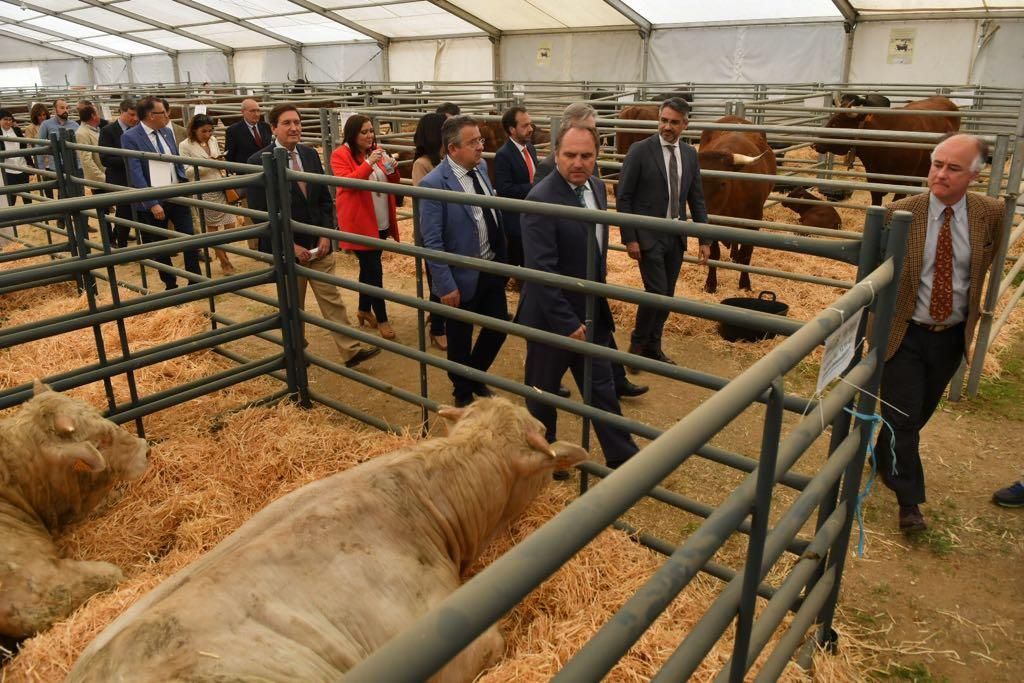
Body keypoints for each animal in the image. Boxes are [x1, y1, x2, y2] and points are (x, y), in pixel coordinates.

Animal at [700, 117, 778, 294]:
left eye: (722, 183)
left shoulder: (754, 221)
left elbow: (746, 255)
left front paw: (745, 284)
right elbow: (714, 254)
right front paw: (711, 284)